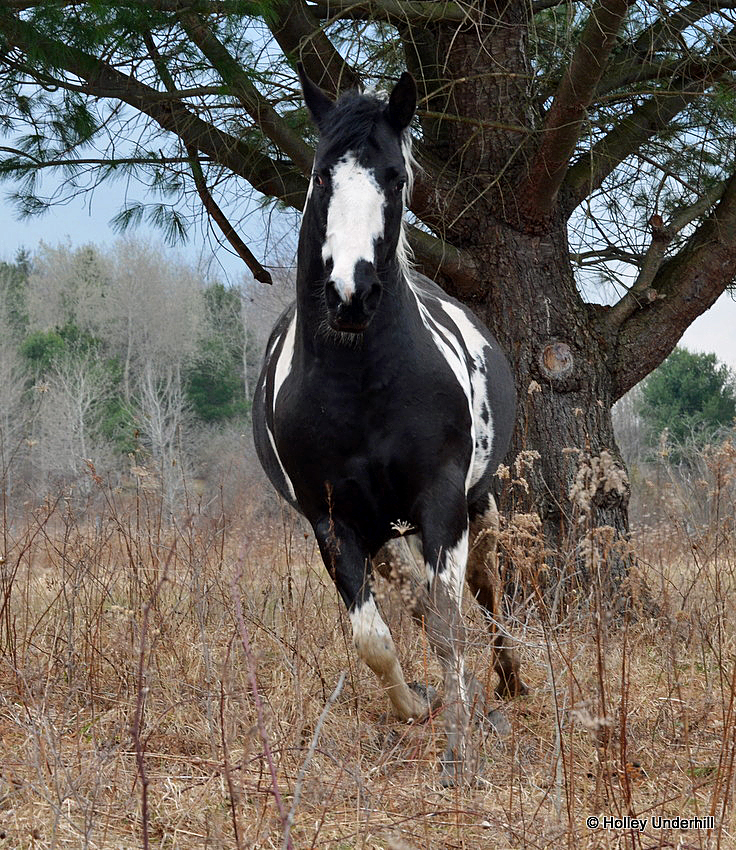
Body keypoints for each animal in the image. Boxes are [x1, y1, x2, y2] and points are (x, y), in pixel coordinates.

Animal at [253, 66, 524, 780]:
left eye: (395, 177)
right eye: (323, 174)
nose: (351, 293)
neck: (362, 384)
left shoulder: (441, 501)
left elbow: (448, 623)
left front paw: (459, 746)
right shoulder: (331, 521)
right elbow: (373, 638)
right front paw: (417, 706)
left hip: (478, 505)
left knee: (488, 588)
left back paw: (509, 679)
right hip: (383, 529)